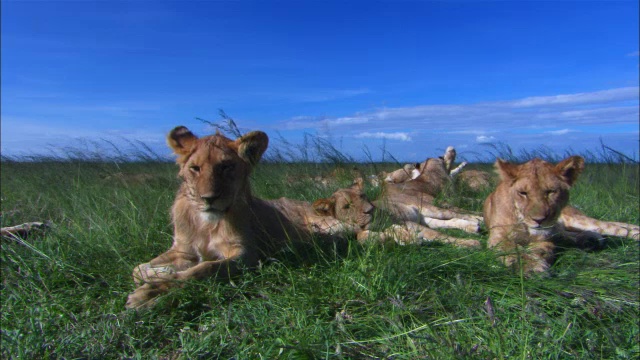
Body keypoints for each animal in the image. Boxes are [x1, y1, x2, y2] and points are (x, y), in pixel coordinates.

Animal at [125, 126, 372, 310]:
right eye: (195, 168)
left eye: (226, 166)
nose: (209, 198)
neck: (206, 224)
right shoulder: (183, 250)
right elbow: (137, 269)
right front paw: (158, 275)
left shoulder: (246, 255)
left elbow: (204, 269)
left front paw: (149, 294)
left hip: (331, 225)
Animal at [484, 156, 640, 274]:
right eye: (523, 193)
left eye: (551, 192)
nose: (539, 220)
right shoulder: (498, 236)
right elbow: (511, 249)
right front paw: (529, 266)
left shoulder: (544, 239)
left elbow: (540, 250)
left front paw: (534, 265)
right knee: (570, 235)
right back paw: (591, 240)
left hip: (577, 220)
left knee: (619, 228)